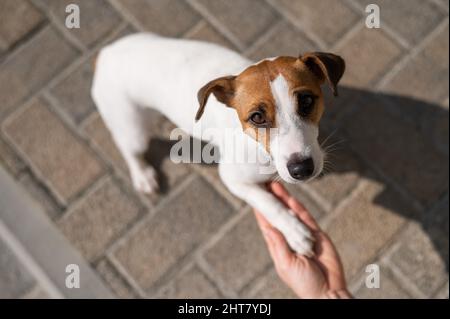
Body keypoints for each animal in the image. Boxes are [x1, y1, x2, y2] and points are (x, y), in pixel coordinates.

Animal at [90, 33, 344, 258]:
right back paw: (142, 174)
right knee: (130, 150)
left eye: (307, 101)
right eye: (257, 117)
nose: (302, 169)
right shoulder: (233, 179)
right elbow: (268, 202)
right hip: (133, 128)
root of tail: (105, 54)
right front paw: (294, 230)